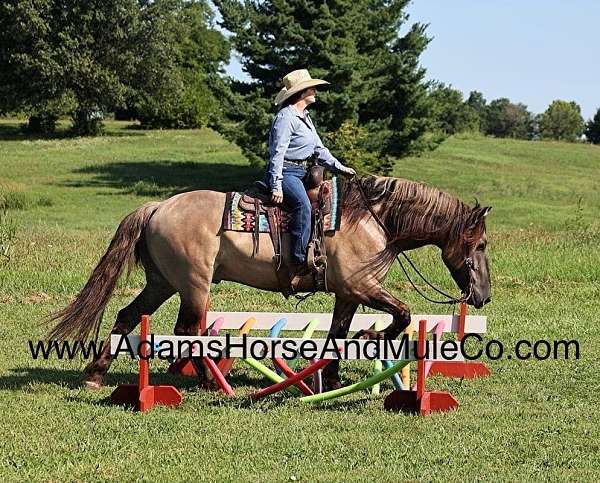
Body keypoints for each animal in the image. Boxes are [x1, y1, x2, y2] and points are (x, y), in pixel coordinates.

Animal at [48, 176, 492, 392]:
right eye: (482, 244)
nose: (483, 296)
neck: (371, 218)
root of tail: (158, 206)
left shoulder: (347, 295)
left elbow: (337, 335)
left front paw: (332, 380)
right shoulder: (362, 287)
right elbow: (400, 315)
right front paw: (370, 337)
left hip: (162, 283)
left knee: (128, 316)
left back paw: (95, 374)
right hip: (194, 285)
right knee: (188, 329)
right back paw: (210, 383)